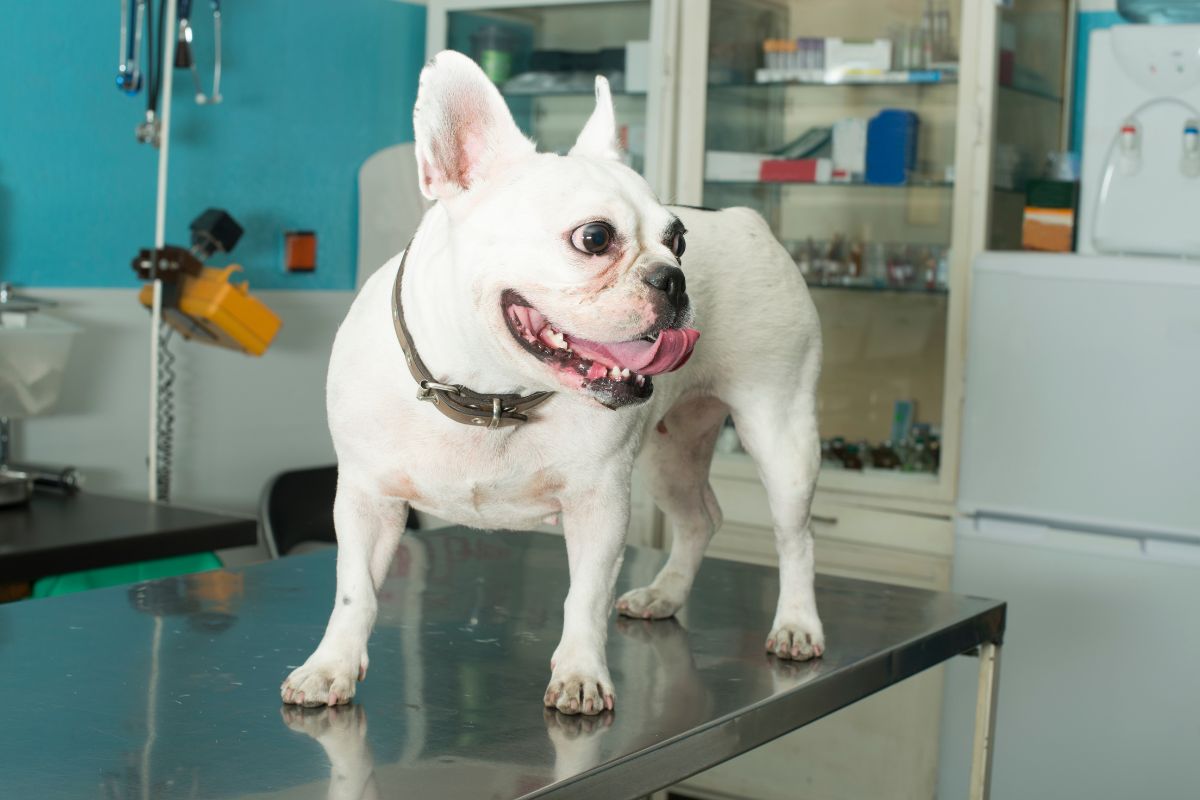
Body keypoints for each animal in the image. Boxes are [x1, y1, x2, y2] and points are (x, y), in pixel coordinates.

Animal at [282, 53, 825, 714]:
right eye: (594, 238)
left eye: (678, 240)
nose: (674, 277)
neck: (491, 394)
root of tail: (749, 219)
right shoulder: (366, 497)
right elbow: (353, 589)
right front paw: (329, 665)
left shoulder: (599, 504)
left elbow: (584, 596)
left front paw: (581, 674)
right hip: (670, 453)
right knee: (701, 518)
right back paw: (665, 594)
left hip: (780, 429)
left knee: (795, 537)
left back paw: (796, 624)